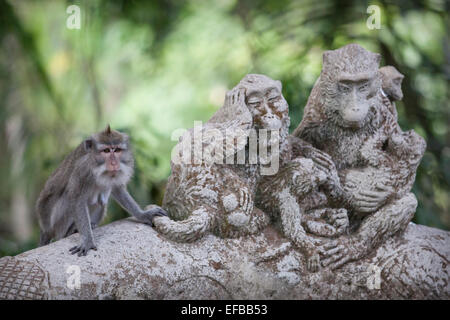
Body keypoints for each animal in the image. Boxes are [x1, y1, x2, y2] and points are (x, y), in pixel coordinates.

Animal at [36, 126, 167, 256]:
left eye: (117, 150)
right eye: (106, 151)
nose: (114, 163)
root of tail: (46, 229)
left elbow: (118, 189)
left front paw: (143, 215)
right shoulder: (82, 169)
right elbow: (76, 198)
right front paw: (87, 240)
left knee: (100, 202)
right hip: (57, 224)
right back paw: (71, 231)